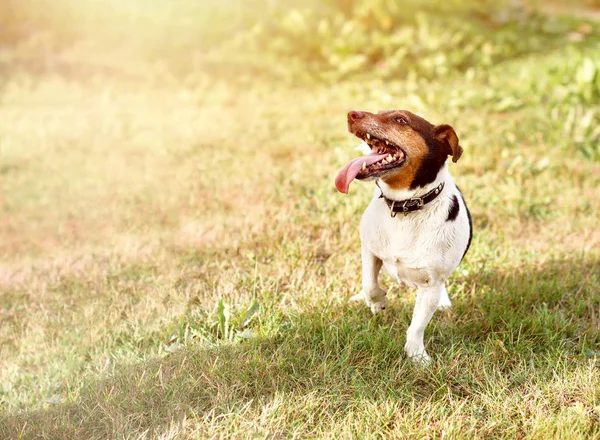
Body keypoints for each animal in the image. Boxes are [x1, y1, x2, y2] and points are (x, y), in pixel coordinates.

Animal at [336, 109, 472, 360]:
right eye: (379, 112)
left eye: (401, 120)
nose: (351, 113)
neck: (405, 207)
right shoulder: (368, 249)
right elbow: (369, 283)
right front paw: (377, 302)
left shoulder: (431, 285)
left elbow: (417, 325)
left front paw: (417, 356)